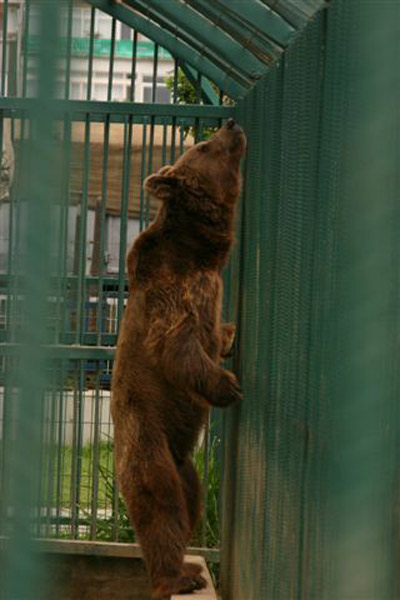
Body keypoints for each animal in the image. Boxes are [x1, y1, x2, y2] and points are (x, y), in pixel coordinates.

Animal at [111, 119, 245, 596]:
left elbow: (214, 334)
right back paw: (178, 575)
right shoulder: (171, 294)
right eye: (204, 146)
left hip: (186, 460)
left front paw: (230, 337)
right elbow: (176, 348)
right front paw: (228, 386)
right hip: (146, 441)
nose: (231, 123)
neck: (199, 251)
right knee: (162, 505)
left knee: (192, 500)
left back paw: (189, 564)